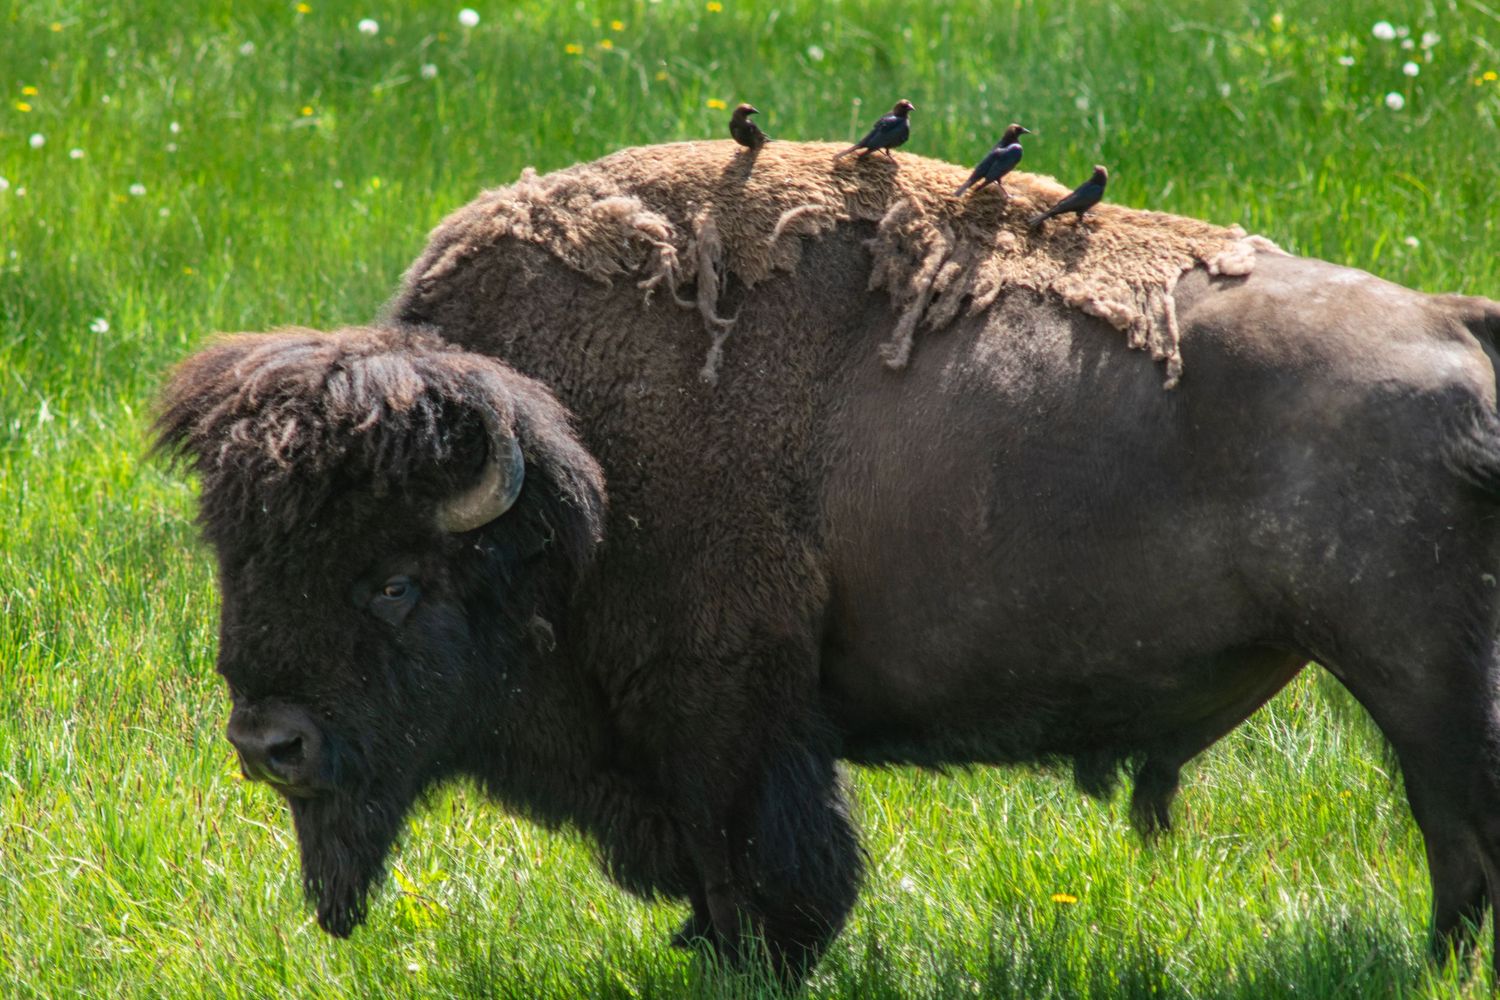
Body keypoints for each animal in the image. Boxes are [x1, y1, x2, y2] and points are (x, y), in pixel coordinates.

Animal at [158, 142, 1500, 982]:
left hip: (1418, 679)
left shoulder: (724, 720)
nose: (267, 743)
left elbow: (764, 861)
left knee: (1458, 829)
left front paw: (747, 957)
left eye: (394, 581)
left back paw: (1434, 964)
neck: (575, 492)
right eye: (237, 556)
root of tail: (1448, 322)